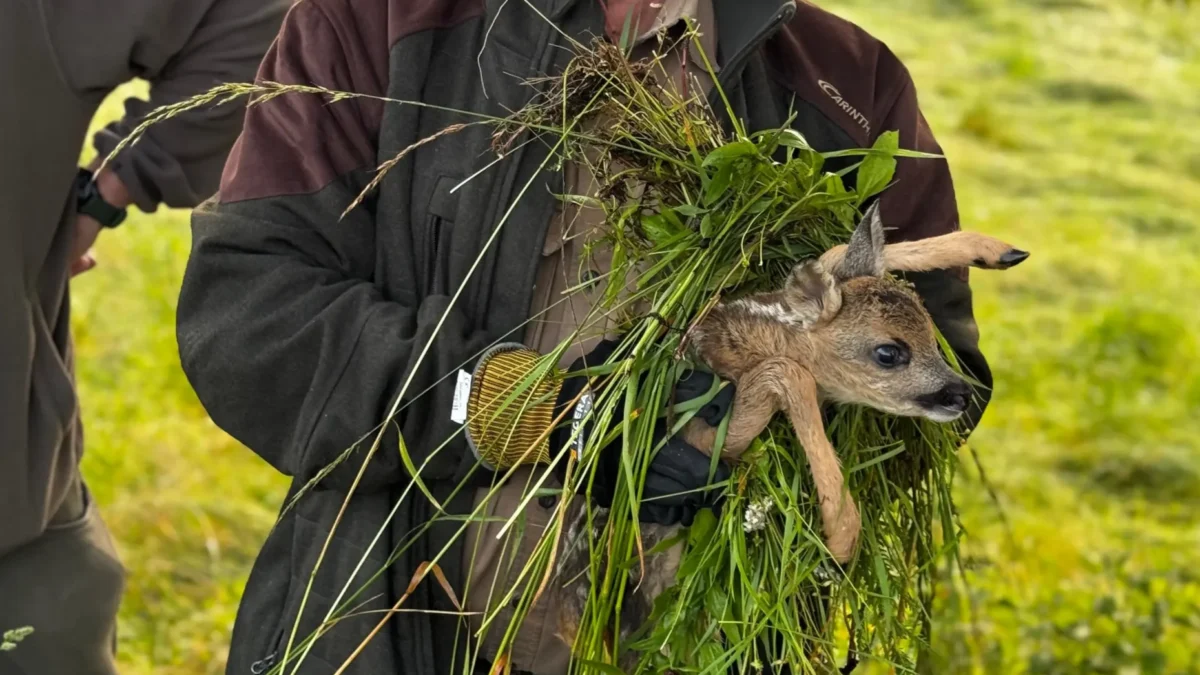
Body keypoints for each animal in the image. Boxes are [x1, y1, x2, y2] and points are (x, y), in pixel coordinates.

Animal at [549, 201, 1029, 666]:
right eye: (889, 352)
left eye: (931, 333)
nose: (961, 393)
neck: (750, 338)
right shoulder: (702, 432)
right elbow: (790, 373)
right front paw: (841, 534)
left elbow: (834, 254)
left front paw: (997, 250)